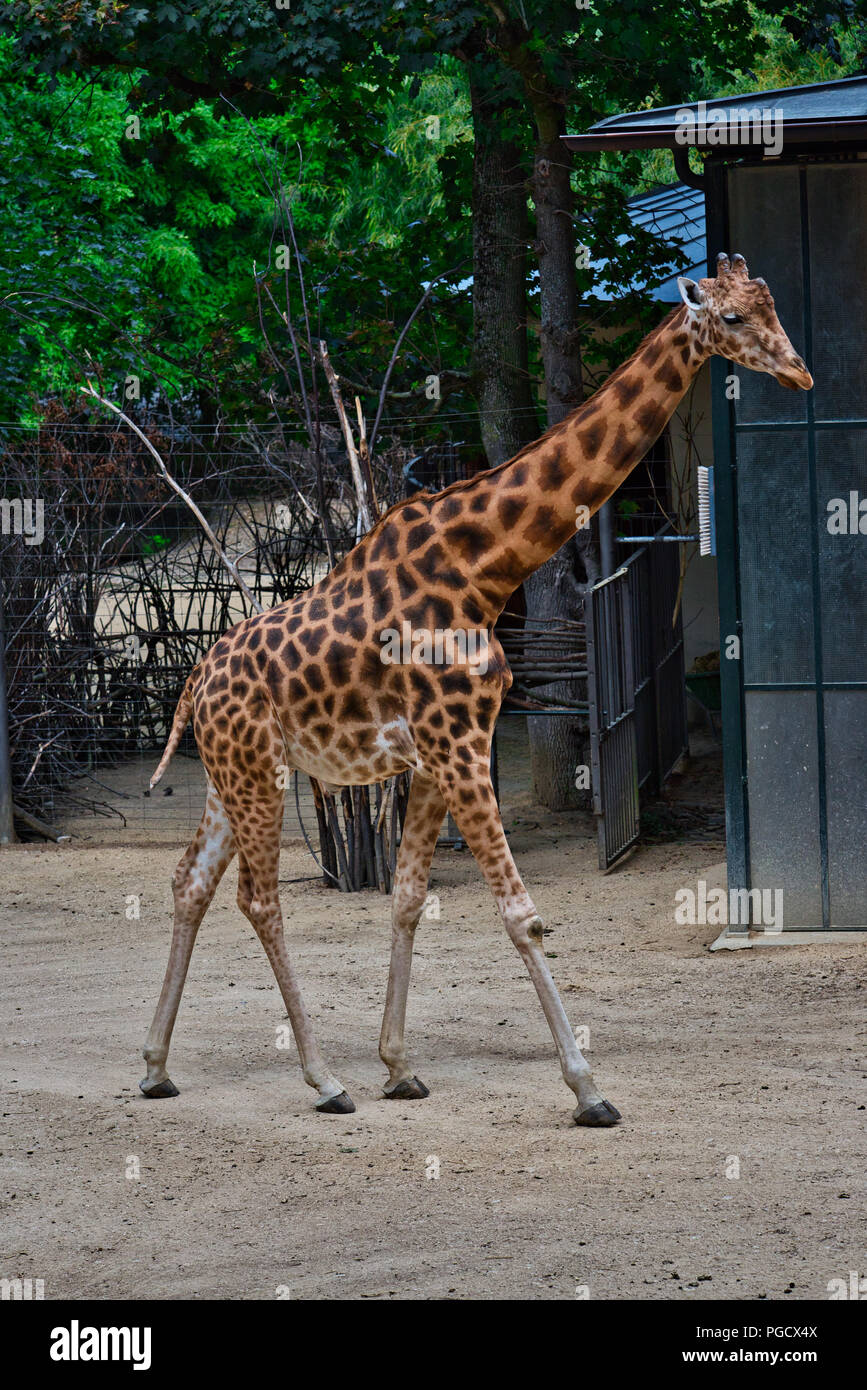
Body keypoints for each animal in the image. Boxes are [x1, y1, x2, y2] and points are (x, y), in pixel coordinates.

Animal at [140, 253, 812, 1125]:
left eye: (770, 304)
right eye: (730, 319)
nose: (799, 373)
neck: (487, 564)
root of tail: (192, 681)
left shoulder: (439, 754)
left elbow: (406, 898)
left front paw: (399, 1066)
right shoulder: (457, 743)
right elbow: (522, 916)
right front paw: (587, 1089)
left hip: (231, 775)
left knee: (189, 882)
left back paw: (155, 1067)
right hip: (258, 773)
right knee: (258, 899)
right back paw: (322, 1080)